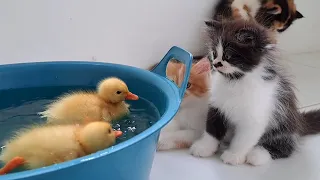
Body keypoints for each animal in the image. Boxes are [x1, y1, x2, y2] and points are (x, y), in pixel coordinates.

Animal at [190, 19, 320, 166]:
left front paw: (234, 155)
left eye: (228, 56)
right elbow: (212, 130)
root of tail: (299, 122)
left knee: (285, 147)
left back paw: (258, 154)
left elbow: (243, 139)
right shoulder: (217, 106)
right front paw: (204, 147)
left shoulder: (255, 116)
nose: (217, 64)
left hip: (283, 124)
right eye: (214, 53)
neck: (235, 81)